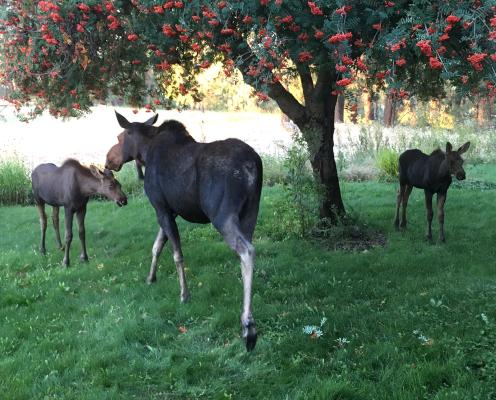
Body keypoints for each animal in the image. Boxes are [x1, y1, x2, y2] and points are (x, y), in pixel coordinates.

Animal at [105, 111, 264, 350]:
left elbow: (176, 254)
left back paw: (248, 325)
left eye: (119, 137)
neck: (145, 153)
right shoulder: (170, 211)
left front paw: (184, 294)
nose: (108, 160)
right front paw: (150, 278)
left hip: (222, 214)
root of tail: (252, 165)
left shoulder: (161, 207)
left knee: (247, 251)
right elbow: (157, 246)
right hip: (250, 212)